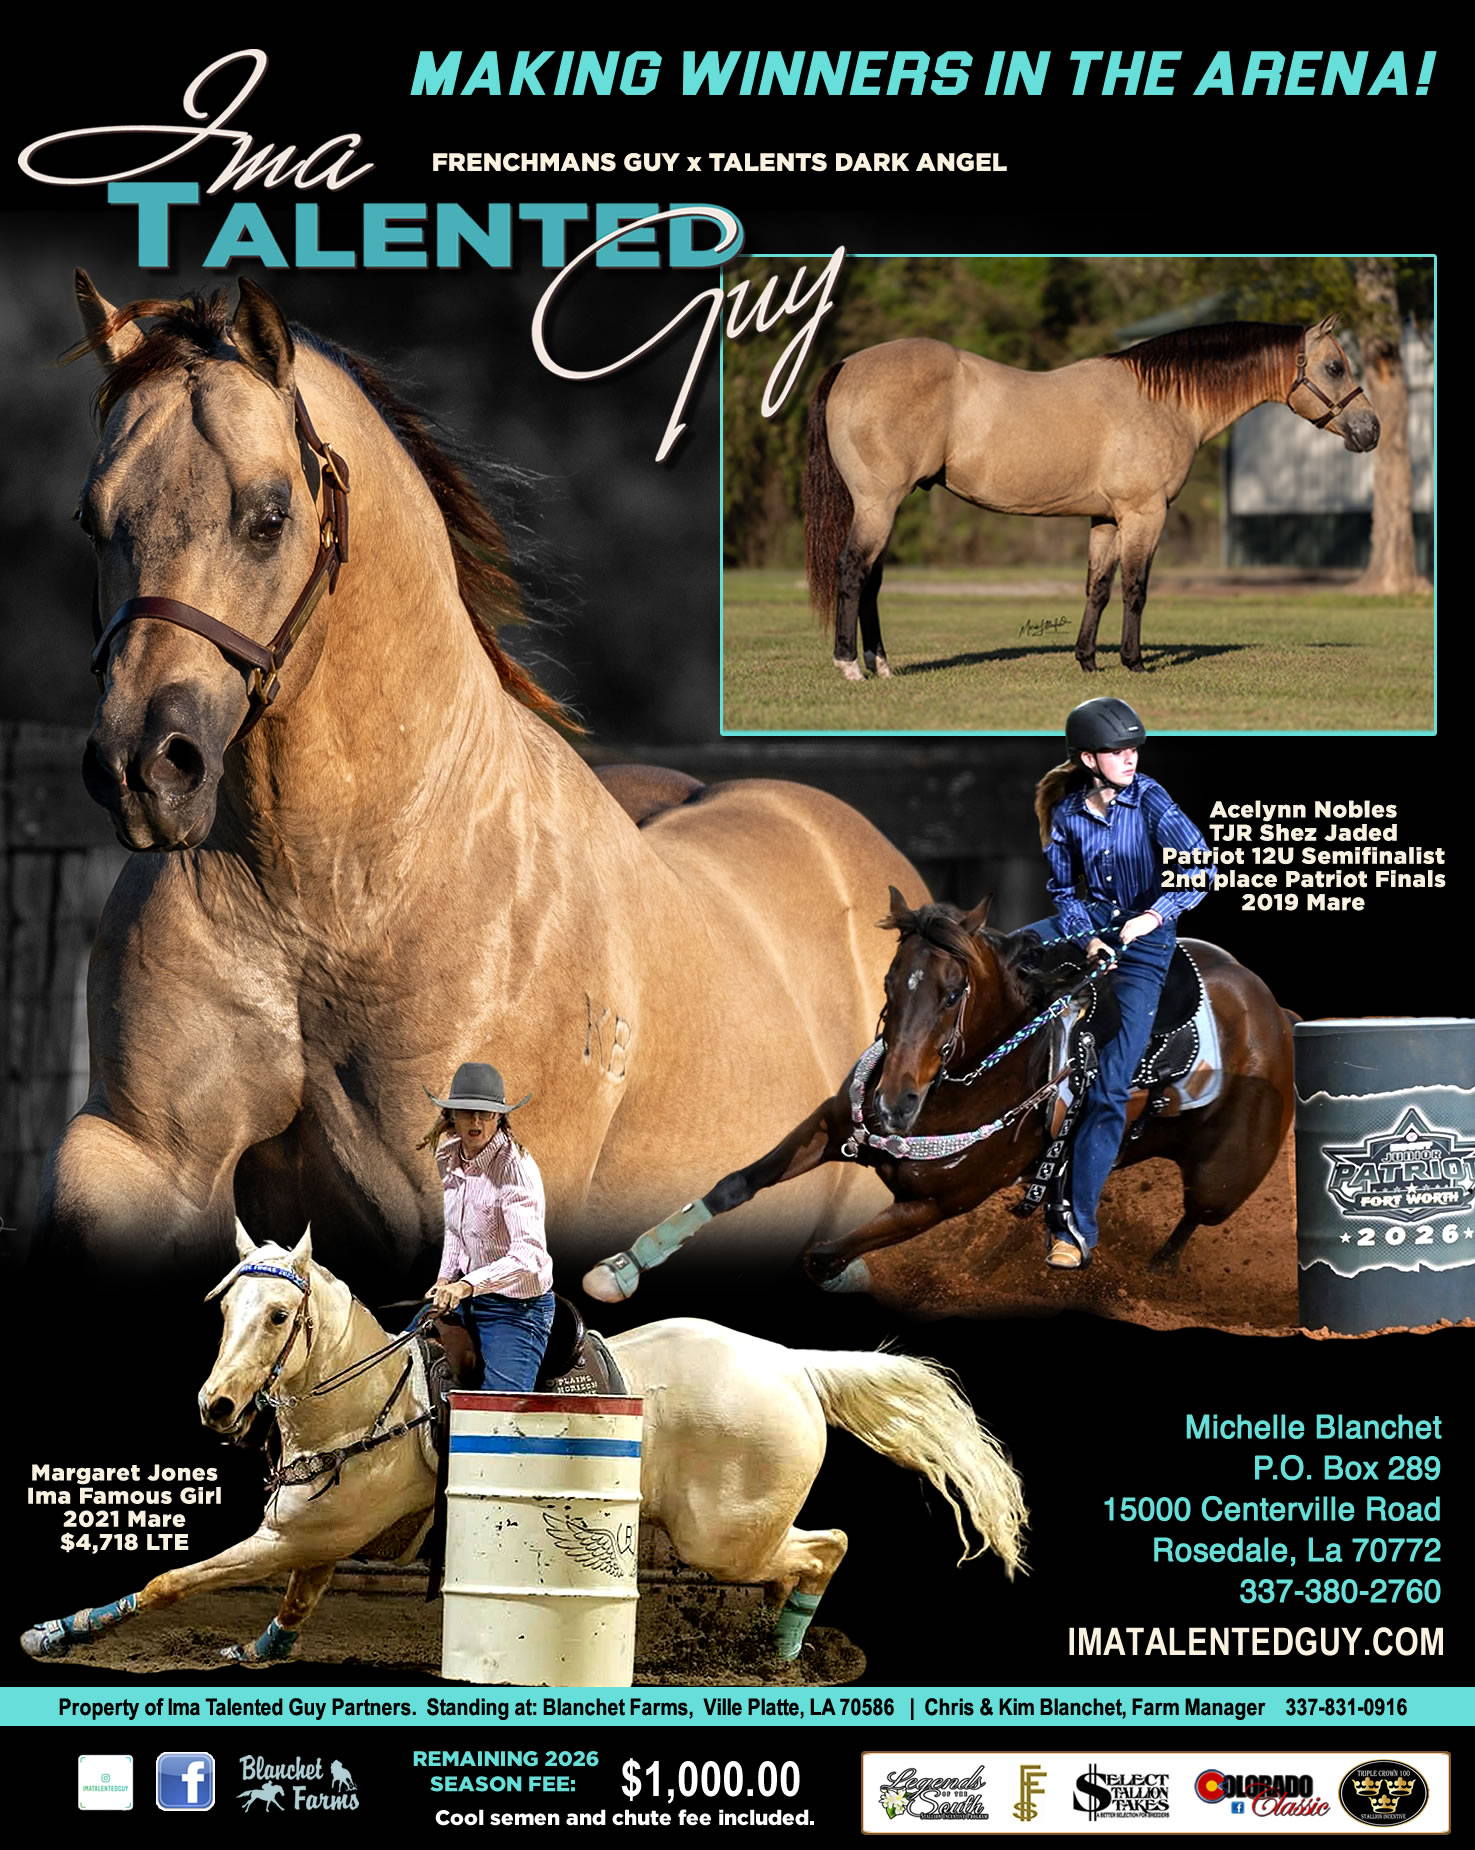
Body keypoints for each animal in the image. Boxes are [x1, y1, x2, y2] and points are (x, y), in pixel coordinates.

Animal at [19, 1229, 1027, 1668]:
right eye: (226, 1306)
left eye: (278, 1316)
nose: (217, 1405)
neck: (363, 1400)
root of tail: (788, 1363)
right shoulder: (318, 1536)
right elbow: (296, 1601)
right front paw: (259, 1650)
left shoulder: (300, 1534)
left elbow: (171, 1579)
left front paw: (61, 1631)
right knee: (808, 1554)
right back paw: (772, 1640)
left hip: (724, 1537)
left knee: (825, 1547)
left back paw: (779, 1651)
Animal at [584, 892, 1293, 1298]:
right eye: (891, 980)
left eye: (954, 994)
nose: (891, 1106)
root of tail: (1274, 1011)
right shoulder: (833, 1123)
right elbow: (735, 1185)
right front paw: (624, 1266)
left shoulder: (936, 1206)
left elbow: (820, 1256)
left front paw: (851, 1275)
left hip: (1220, 1184)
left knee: (1189, 1220)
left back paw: (1150, 1272)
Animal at [804, 317, 1380, 679]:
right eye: (1335, 367)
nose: (1370, 429)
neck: (1162, 401)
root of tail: (848, 364)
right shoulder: (1144, 514)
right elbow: (1135, 588)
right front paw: (1134, 661)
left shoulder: (1105, 519)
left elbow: (1098, 589)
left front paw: (1086, 659)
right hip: (878, 505)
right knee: (853, 570)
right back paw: (850, 666)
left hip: (886, 507)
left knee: (872, 581)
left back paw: (882, 665)